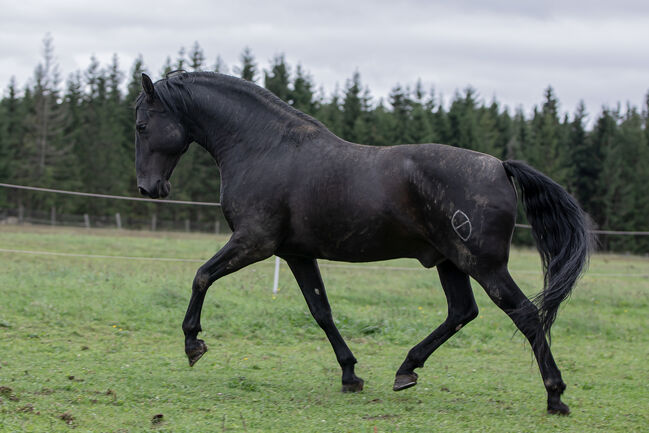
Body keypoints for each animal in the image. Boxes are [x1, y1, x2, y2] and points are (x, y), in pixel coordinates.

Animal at [134, 71, 588, 412]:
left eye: (141, 125)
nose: (148, 188)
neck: (266, 148)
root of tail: (500, 166)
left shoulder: (253, 242)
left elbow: (201, 276)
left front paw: (193, 343)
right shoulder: (295, 254)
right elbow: (321, 311)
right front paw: (350, 374)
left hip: (484, 264)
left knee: (526, 315)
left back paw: (555, 395)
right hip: (451, 261)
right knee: (462, 311)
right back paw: (406, 369)